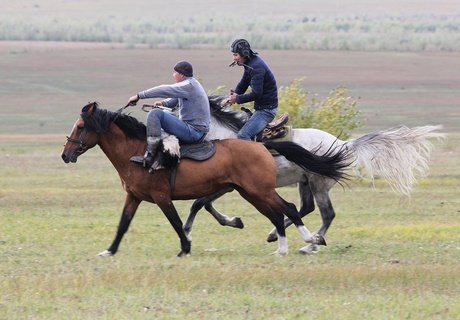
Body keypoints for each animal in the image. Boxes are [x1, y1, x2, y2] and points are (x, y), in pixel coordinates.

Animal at [61, 102, 348, 258]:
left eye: (81, 126)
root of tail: (262, 146)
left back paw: (309, 241)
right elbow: (123, 225)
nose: (65, 154)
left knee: (291, 209)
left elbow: (178, 221)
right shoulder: (133, 197)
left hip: (265, 190)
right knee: (280, 214)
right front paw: (109, 250)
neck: (138, 151)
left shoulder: (162, 197)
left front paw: (185, 247)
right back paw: (284, 247)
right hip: (252, 192)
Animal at [181, 95, 444, 252]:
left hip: (318, 184)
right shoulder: (227, 185)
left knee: (327, 214)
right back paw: (276, 235)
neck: (224, 136)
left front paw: (196, 229)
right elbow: (201, 204)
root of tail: (343, 145)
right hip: (305, 182)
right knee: (305, 208)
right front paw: (231, 222)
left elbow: (200, 203)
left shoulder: (229, 185)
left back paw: (311, 244)